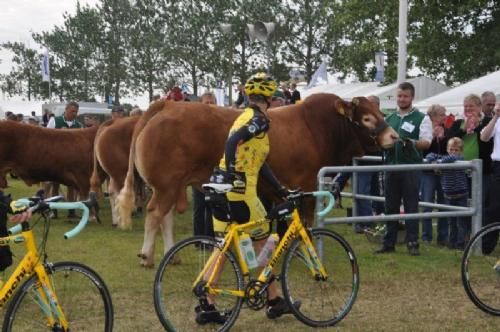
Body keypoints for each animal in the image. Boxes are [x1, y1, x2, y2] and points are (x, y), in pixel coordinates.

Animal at [118, 93, 398, 268]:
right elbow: (304, 222)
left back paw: (170, 255)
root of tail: (168, 105)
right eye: (367, 117)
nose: (394, 136)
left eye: (381, 112)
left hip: (170, 186)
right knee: (155, 214)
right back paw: (146, 256)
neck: (319, 128)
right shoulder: (306, 186)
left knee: (164, 218)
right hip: (166, 185)